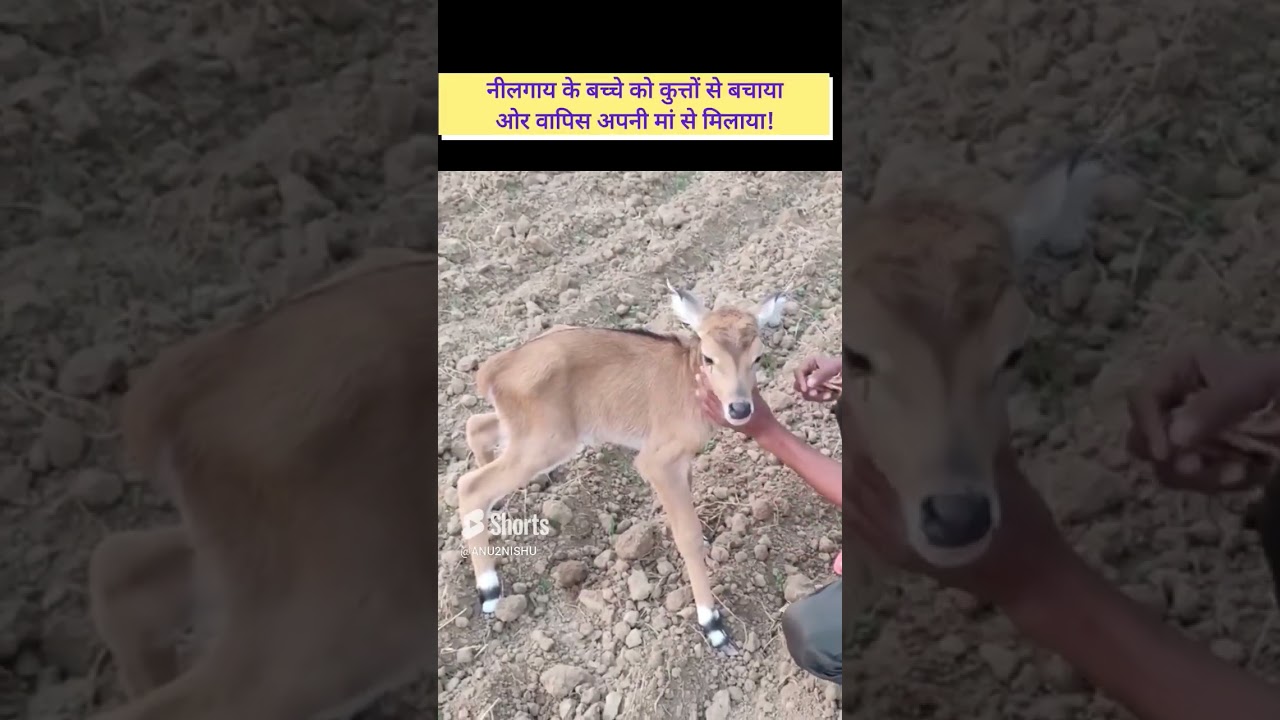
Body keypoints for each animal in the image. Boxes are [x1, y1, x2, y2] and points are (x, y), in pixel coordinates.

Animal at [457, 284, 787, 654]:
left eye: (757, 357)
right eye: (709, 357)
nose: (741, 408)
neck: (689, 383)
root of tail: (495, 368)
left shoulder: (682, 462)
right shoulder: (657, 460)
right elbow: (687, 536)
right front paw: (713, 625)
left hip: (524, 432)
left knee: (476, 427)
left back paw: (497, 510)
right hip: (547, 441)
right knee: (470, 485)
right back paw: (489, 590)